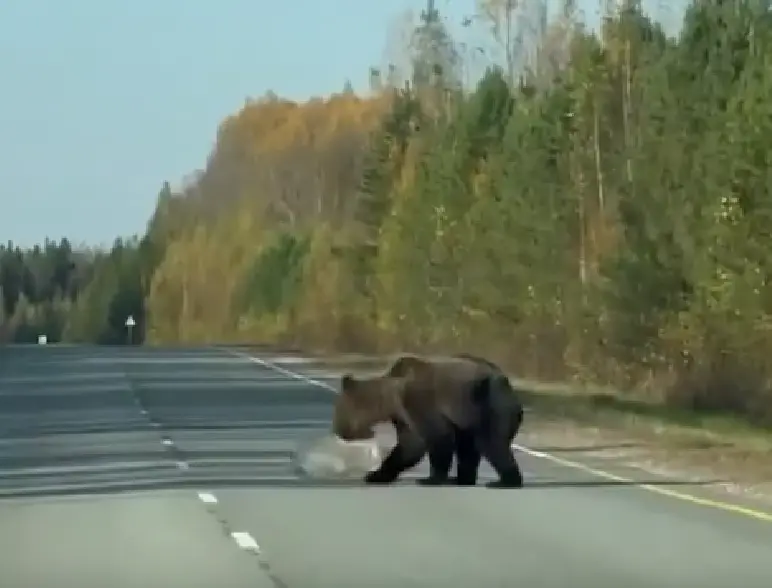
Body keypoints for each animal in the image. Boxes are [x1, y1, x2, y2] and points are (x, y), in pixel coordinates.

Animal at [331, 353, 525, 488]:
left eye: (338, 410)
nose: (339, 430)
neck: (391, 398)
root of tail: (506, 382)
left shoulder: (419, 402)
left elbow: (433, 439)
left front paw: (431, 478)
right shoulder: (404, 415)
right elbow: (408, 446)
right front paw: (375, 475)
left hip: (490, 405)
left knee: (491, 442)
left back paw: (505, 481)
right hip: (471, 413)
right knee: (469, 446)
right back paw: (461, 478)